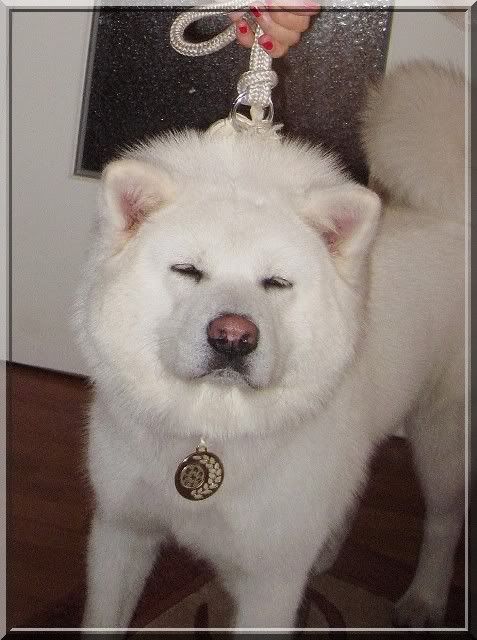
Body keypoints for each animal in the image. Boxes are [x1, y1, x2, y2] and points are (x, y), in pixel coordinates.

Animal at [76, 62, 465, 630]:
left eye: (277, 283)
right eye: (188, 270)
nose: (233, 337)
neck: (209, 427)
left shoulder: (269, 583)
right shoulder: (121, 532)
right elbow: (103, 619)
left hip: (441, 439)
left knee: (443, 521)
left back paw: (426, 599)